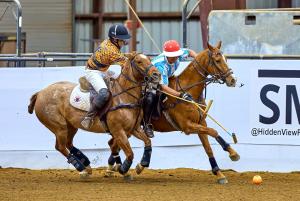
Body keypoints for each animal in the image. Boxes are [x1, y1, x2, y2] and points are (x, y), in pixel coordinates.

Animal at [27, 53, 159, 177]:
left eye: (149, 59)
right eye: (139, 61)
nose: (157, 75)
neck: (124, 96)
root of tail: (40, 93)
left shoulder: (133, 129)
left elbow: (147, 142)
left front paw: (141, 165)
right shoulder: (118, 131)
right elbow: (130, 153)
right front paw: (123, 169)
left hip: (71, 126)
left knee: (68, 144)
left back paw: (86, 166)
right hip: (59, 127)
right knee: (60, 146)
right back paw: (81, 168)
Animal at [106, 42, 240, 184]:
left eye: (226, 59)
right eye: (217, 60)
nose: (232, 80)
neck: (188, 90)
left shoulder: (200, 123)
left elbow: (208, 147)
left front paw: (220, 172)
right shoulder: (187, 126)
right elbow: (213, 131)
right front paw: (233, 154)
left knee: (113, 144)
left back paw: (113, 168)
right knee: (114, 144)